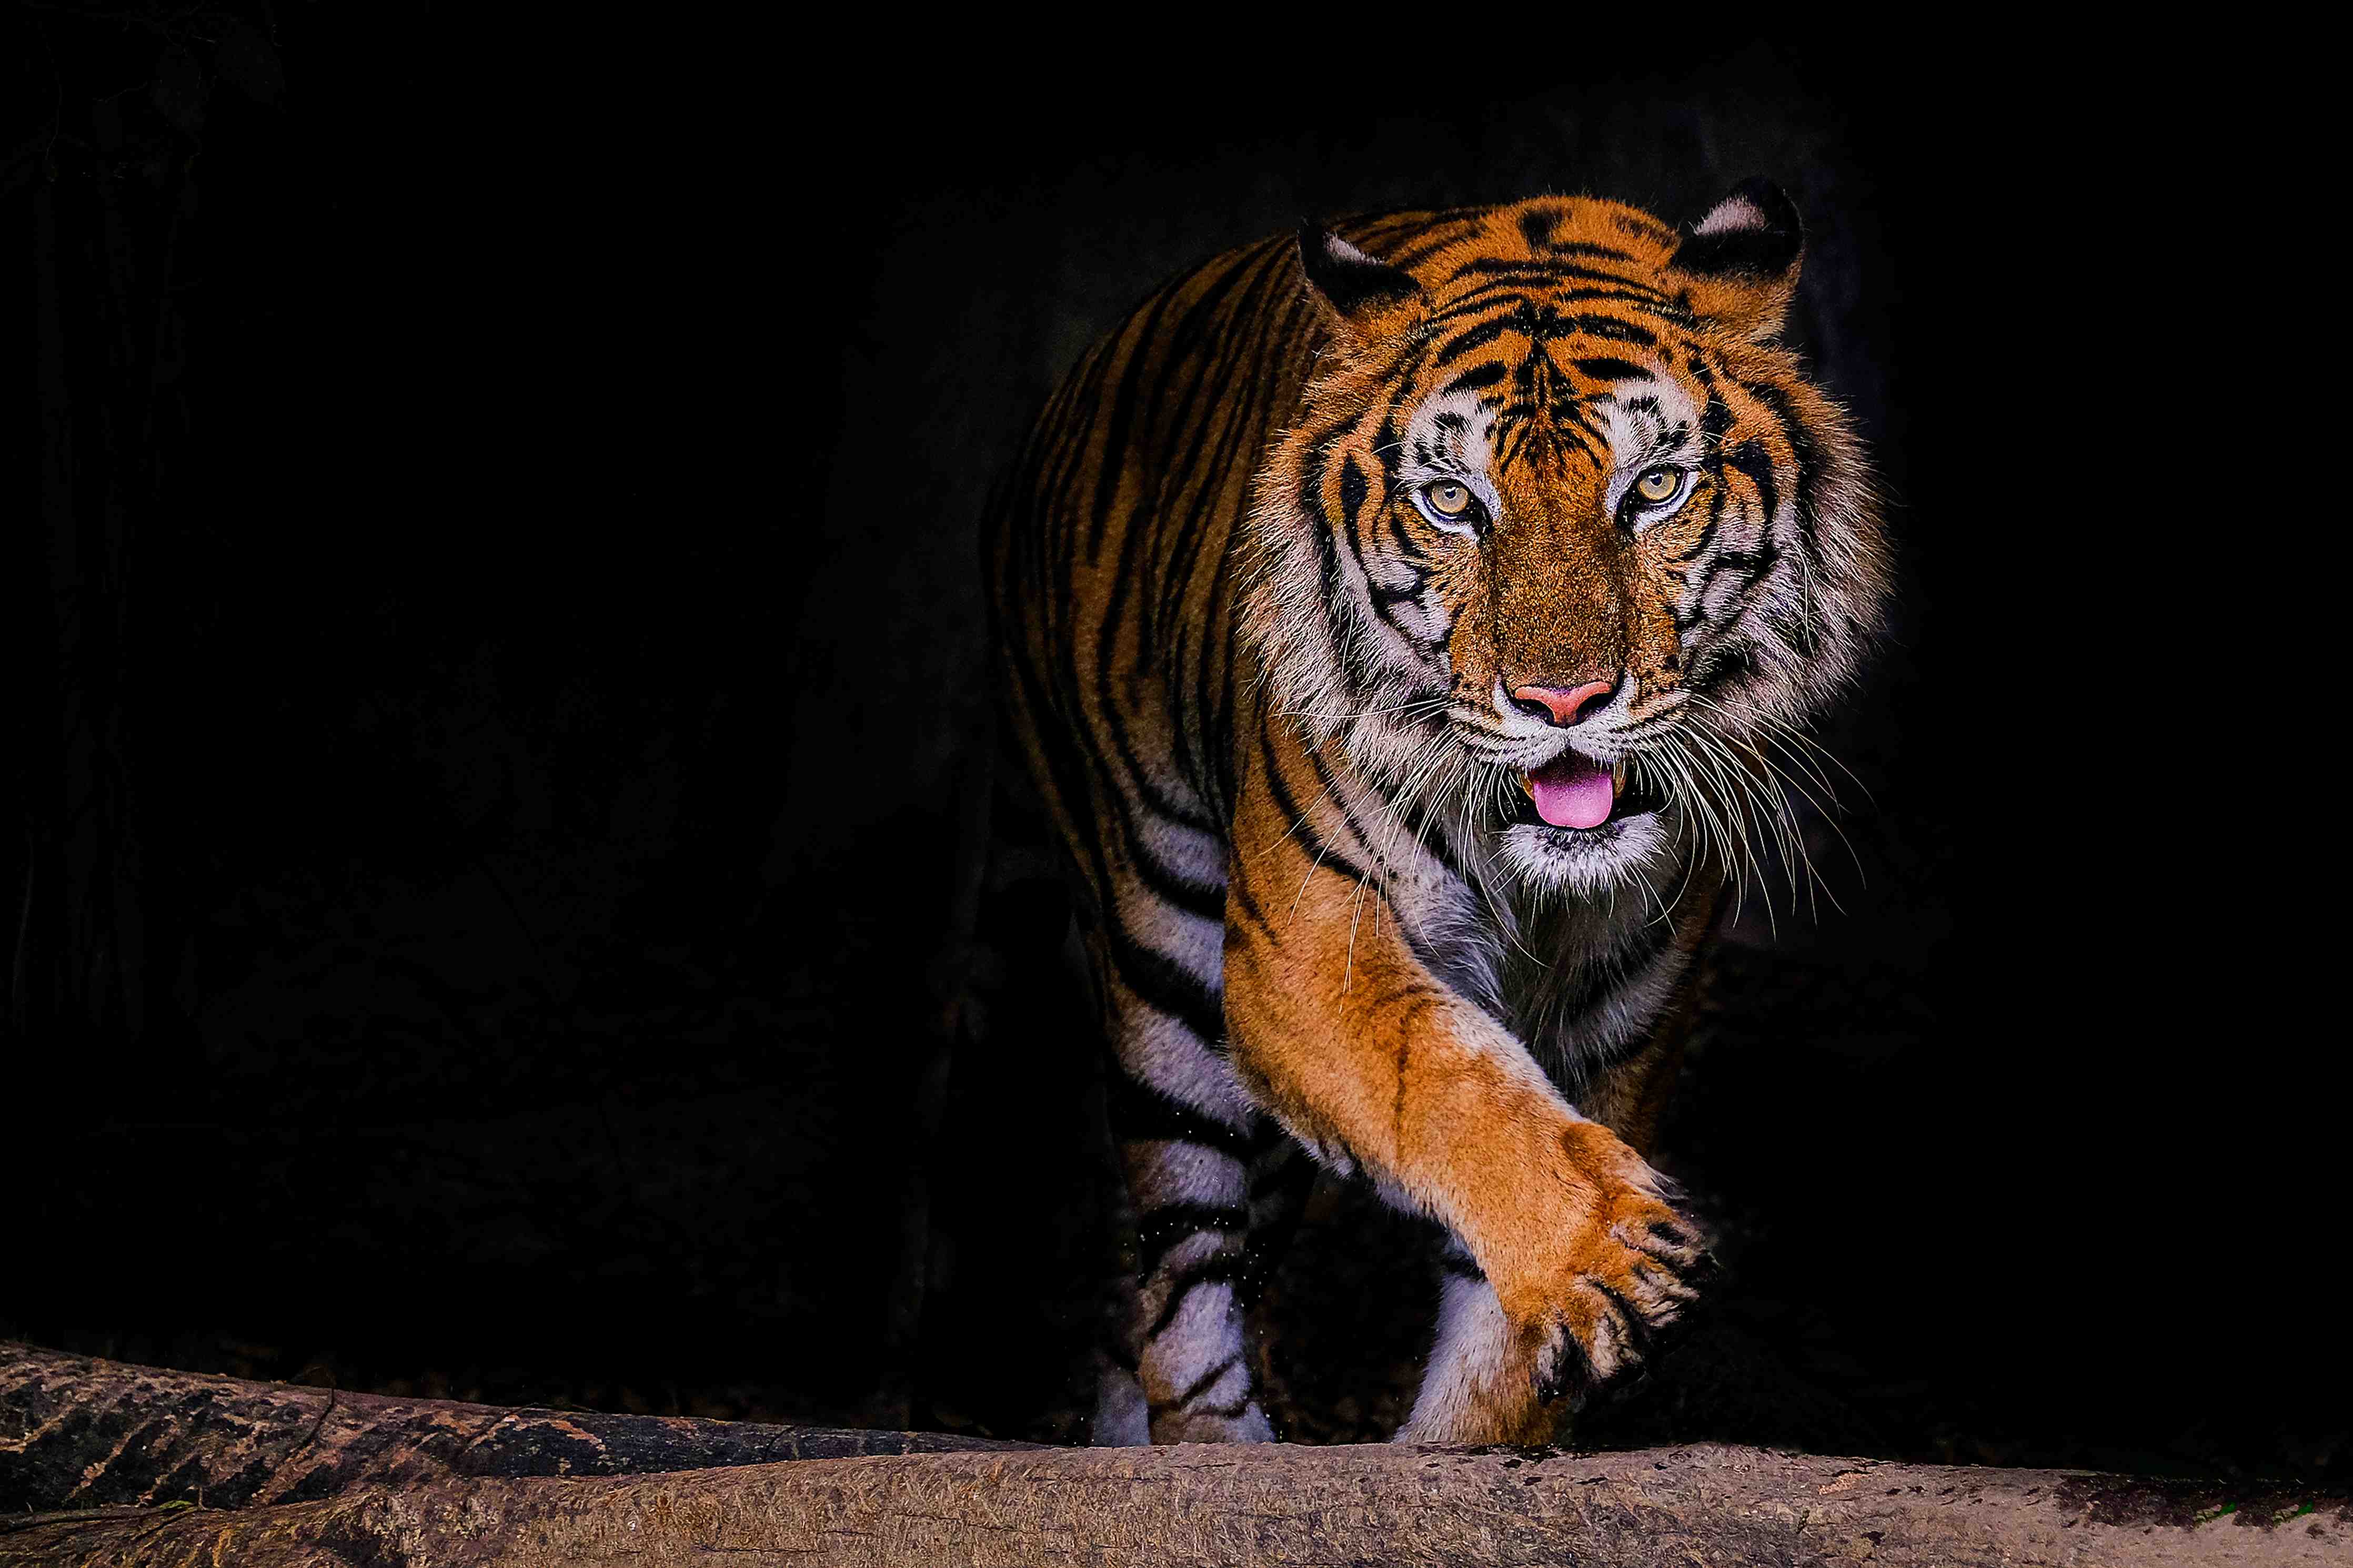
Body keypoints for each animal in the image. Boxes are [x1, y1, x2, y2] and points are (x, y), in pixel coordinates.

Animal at [986, 179, 1888, 1447]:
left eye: (1653, 489)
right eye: (1454, 503)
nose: (1562, 700)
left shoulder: (1628, 1002)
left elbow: (1499, 1311)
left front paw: (1474, 1429)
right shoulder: (1305, 949)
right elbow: (1456, 1088)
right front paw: (1610, 1256)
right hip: (1163, 955)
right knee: (1180, 1271)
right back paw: (1215, 1446)